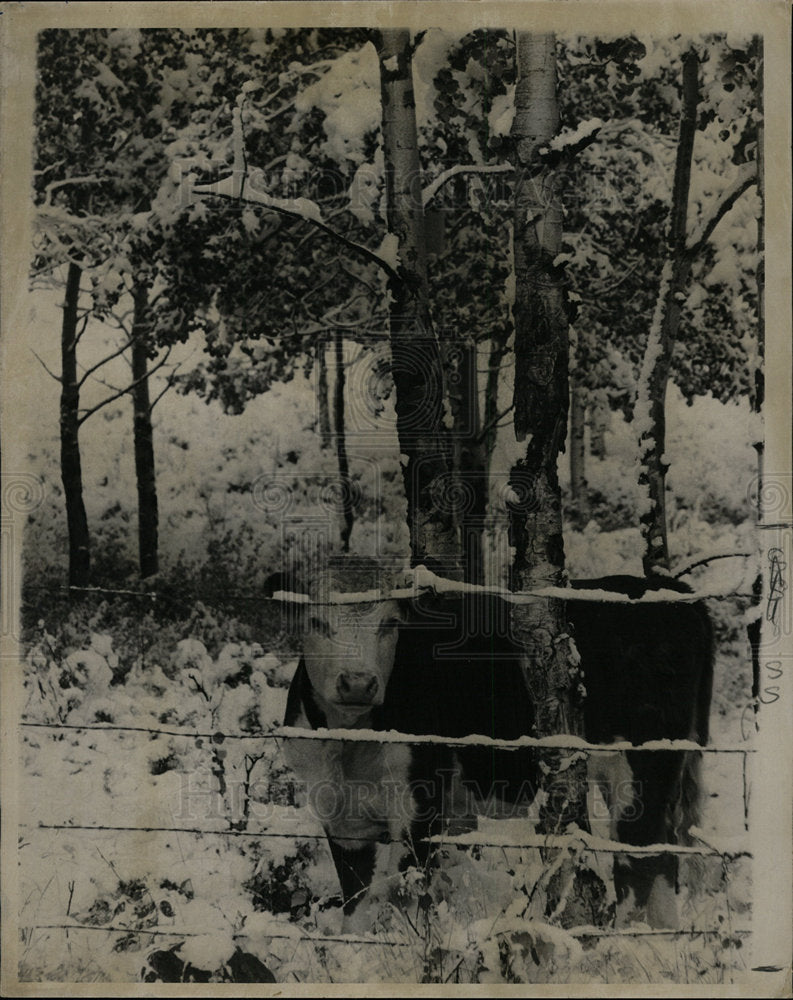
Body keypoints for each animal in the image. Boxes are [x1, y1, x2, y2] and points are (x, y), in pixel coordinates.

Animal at [270, 560, 716, 932]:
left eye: (390, 623)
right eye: (316, 621)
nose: (358, 683)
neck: (348, 745)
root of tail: (665, 589)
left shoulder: (421, 802)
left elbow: (405, 894)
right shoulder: (339, 814)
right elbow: (356, 905)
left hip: (641, 763)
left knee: (639, 858)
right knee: (662, 854)